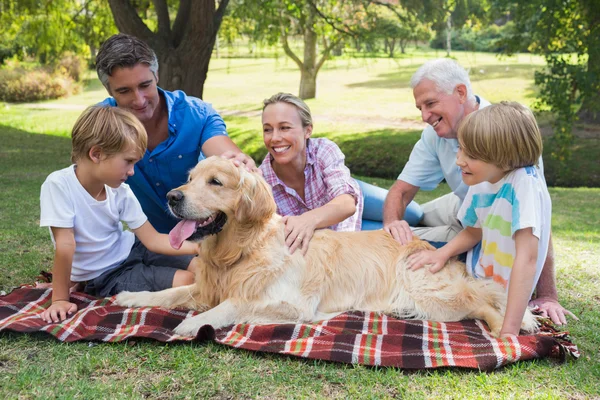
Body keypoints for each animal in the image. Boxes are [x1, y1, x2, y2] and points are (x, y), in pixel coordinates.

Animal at [115, 156, 536, 338]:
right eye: (190, 178)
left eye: (215, 182)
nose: (172, 197)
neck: (240, 251)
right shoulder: (205, 287)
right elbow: (169, 293)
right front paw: (131, 297)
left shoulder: (290, 303)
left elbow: (232, 305)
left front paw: (193, 323)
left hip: (431, 295)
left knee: (481, 301)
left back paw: (508, 329)